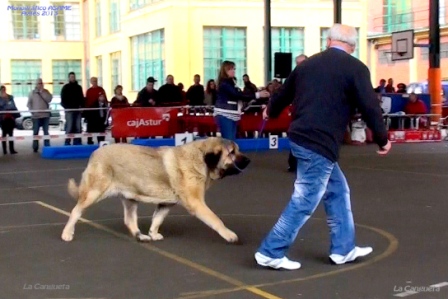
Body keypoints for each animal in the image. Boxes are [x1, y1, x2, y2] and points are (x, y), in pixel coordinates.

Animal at [60, 138, 250, 244]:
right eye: (232, 152)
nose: (248, 160)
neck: (200, 158)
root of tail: (95, 153)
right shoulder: (196, 203)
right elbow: (216, 220)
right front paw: (229, 235)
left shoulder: (166, 203)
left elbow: (157, 219)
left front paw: (153, 233)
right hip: (94, 192)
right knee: (76, 211)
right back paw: (67, 233)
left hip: (130, 198)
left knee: (129, 220)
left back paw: (141, 236)